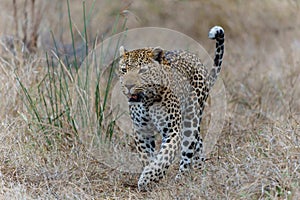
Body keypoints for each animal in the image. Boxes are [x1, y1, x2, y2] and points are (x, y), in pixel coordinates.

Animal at [118, 26, 224, 191]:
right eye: (124, 70)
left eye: (142, 71)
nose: (129, 86)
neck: (147, 100)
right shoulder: (141, 131)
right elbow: (147, 157)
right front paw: (151, 179)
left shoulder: (172, 129)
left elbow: (165, 155)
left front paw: (147, 178)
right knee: (199, 142)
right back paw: (199, 170)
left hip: (190, 121)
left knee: (188, 150)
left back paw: (183, 177)